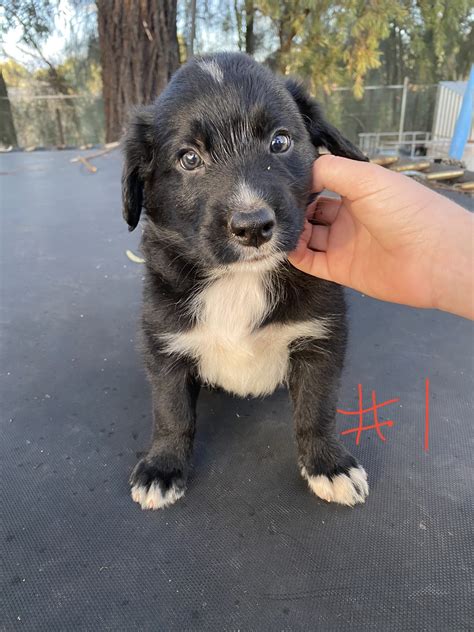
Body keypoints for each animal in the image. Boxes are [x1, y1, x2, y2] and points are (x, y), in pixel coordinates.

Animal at [121, 51, 366, 512]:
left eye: (280, 142)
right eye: (189, 159)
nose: (253, 226)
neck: (239, 280)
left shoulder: (321, 338)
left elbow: (317, 407)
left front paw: (328, 463)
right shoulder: (163, 341)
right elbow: (170, 411)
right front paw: (162, 466)